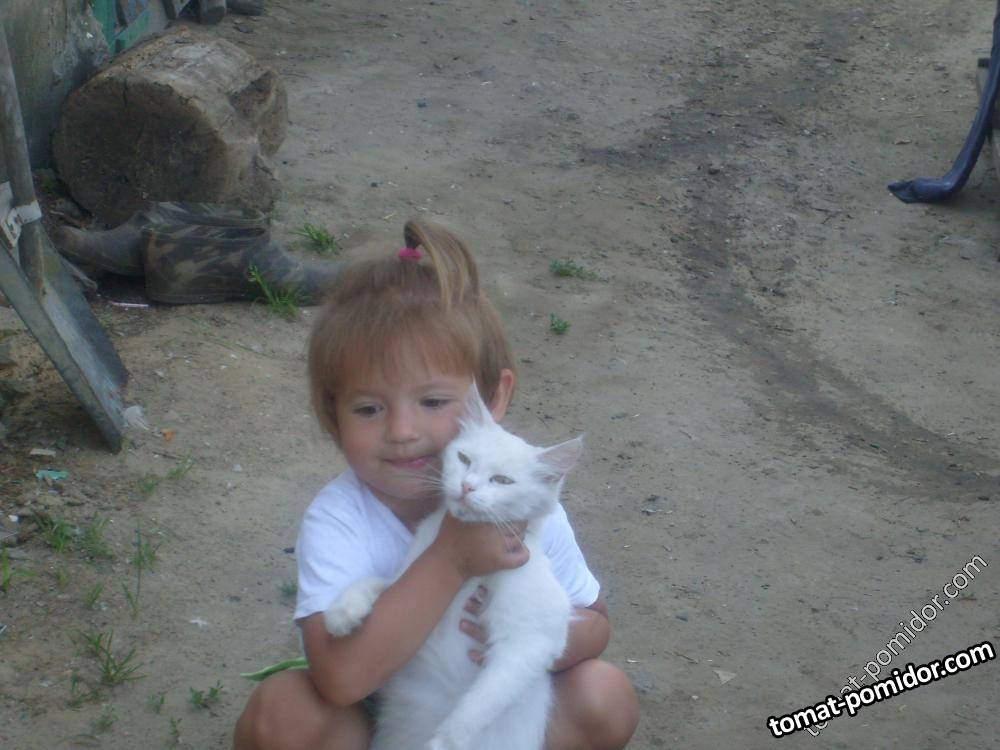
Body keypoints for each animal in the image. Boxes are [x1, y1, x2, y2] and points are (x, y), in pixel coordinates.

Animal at [323, 384, 583, 750]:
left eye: (502, 480)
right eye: (464, 459)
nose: (467, 486)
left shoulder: (531, 642)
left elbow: (478, 704)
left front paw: (441, 742)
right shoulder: (407, 580)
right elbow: (374, 581)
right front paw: (342, 613)